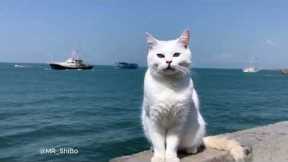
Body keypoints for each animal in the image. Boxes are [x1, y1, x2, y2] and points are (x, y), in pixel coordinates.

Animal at [141, 30, 244, 162]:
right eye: (160, 55)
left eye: (176, 54)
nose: (168, 61)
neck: (169, 84)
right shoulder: (153, 119)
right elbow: (158, 142)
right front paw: (159, 157)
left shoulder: (179, 121)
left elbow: (172, 143)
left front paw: (171, 157)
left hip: (198, 129)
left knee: (196, 144)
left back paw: (191, 149)